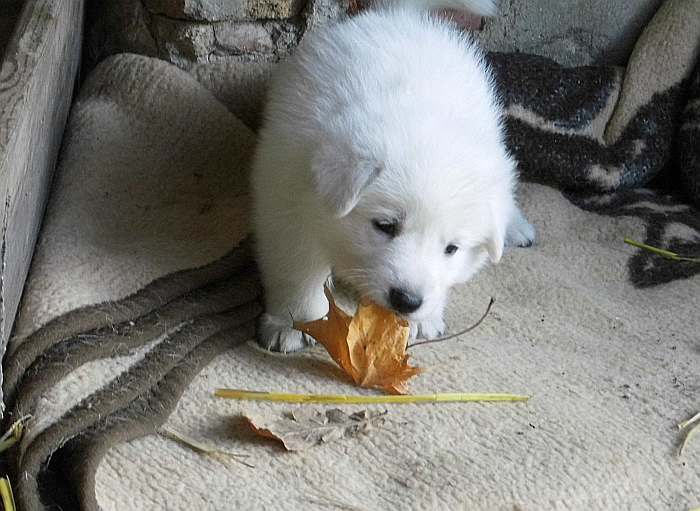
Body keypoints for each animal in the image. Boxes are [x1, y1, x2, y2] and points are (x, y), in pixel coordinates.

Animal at [252, 0, 536, 352]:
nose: (407, 301)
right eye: (385, 226)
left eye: (451, 248)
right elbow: (296, 265)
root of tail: (401, 15)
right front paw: (294, 323)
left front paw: (422, 320)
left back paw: (516, 227)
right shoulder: (286, 190)